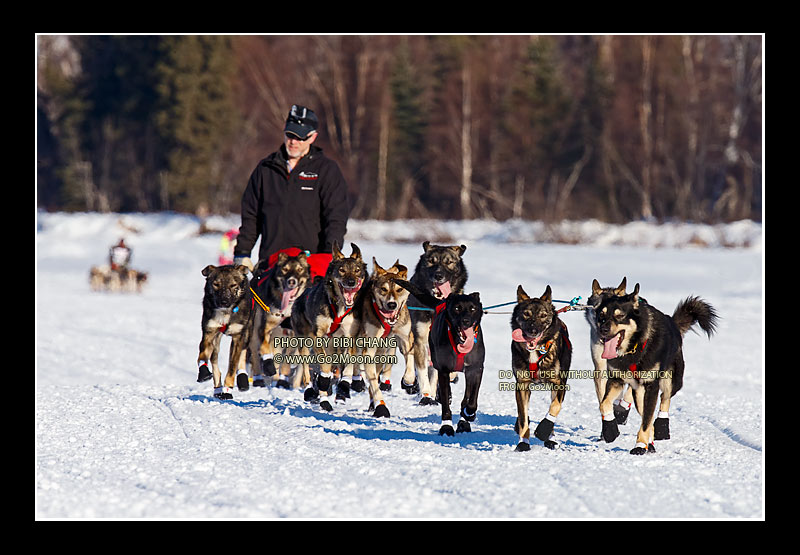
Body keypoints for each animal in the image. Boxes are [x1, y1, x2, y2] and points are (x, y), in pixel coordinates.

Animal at [392, 280, 484, 436]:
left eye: (473, 309)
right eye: (457, 308)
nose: (465, 321)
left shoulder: (476, 369)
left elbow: (471, 400)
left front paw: (468, 414)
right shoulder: (444, 370)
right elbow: (446, 403)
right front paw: (446, 427)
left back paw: (464, 422)